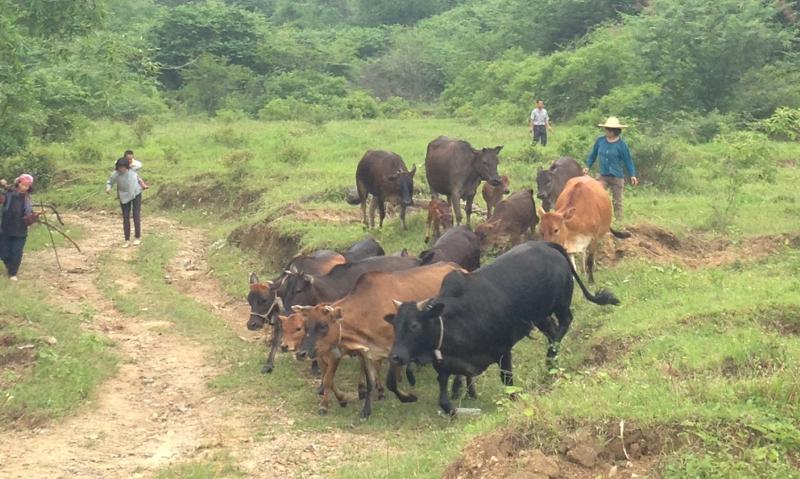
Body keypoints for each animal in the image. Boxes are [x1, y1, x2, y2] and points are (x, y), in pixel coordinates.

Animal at [386, 242, 620, 414]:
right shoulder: (447, 366)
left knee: (566, 322)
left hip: (560, 303)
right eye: (395, 326)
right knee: (553, 330)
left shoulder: (503, 350)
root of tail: (546, 244)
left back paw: (550, 357)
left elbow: (507, 381)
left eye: (414, 325)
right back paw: (552, 362)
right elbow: (444, 399)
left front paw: (513, 399)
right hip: (539, 316)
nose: (395, 356)